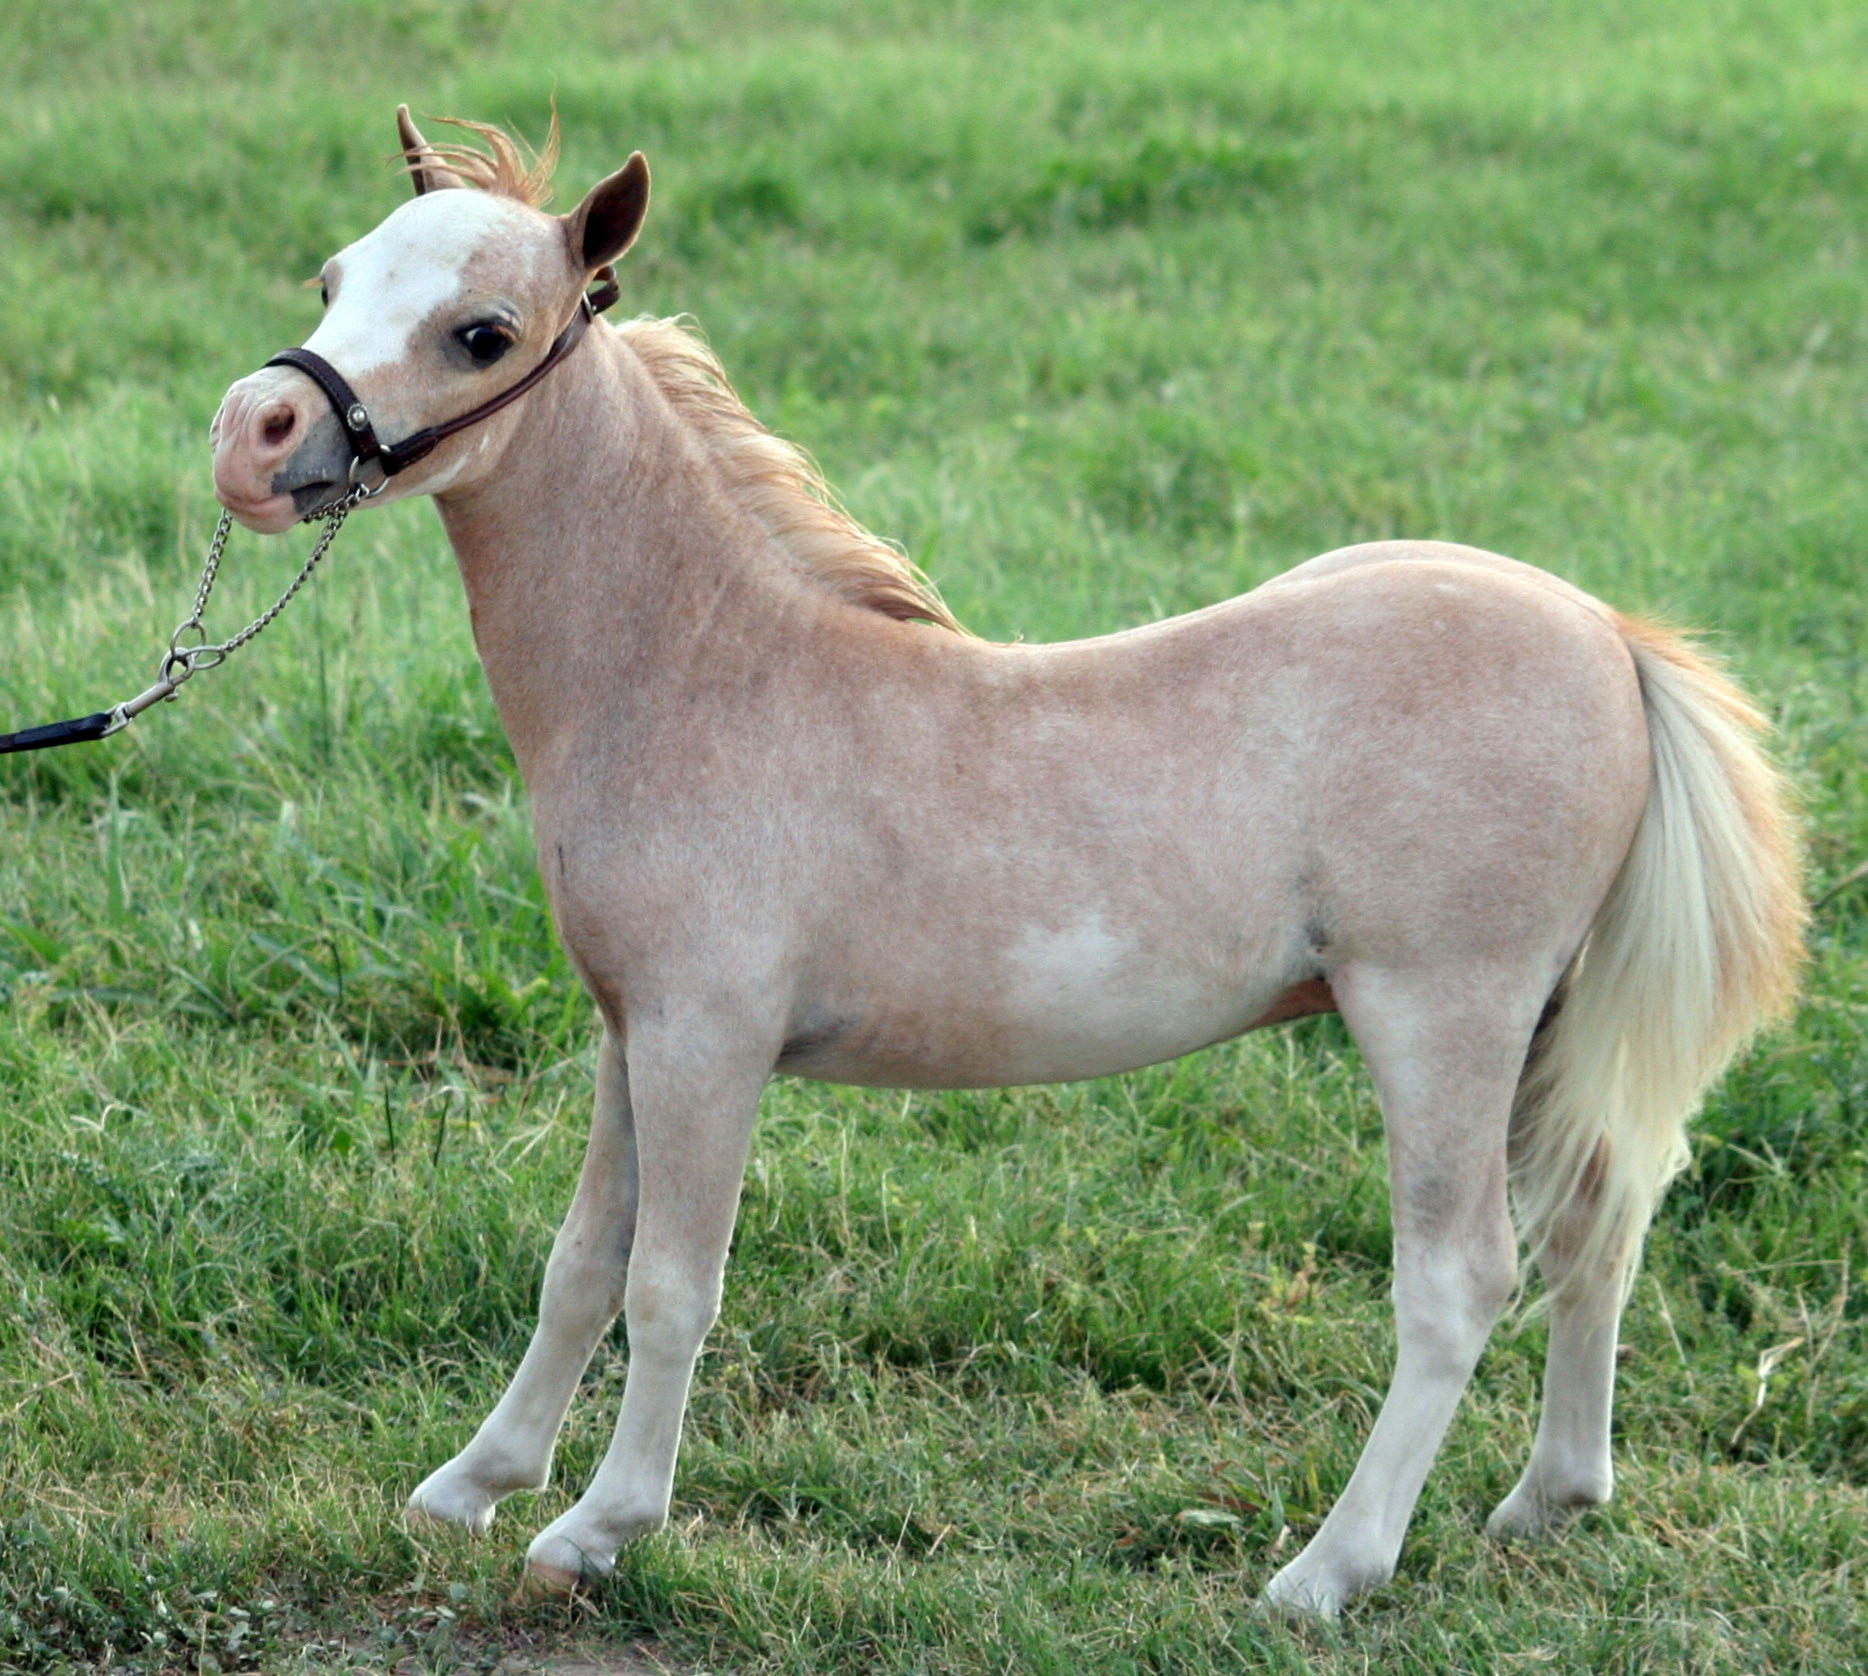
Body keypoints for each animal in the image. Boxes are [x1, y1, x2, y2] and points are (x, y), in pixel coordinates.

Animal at [208, 109, 1805, 1615]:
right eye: (336, 278)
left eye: (481, 332)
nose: (253, 437)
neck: (707, 673)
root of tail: (1607, 636)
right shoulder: (629, 1033)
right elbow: (580, 1265)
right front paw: (469, 1485)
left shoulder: (705, 1041)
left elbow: (670, 1285)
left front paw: (598, 1529)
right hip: (1543, 1025)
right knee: (1598, 1222)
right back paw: (1547, 1501)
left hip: (1442, 1016)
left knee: (1462, 1278)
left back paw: (1326, 1573)